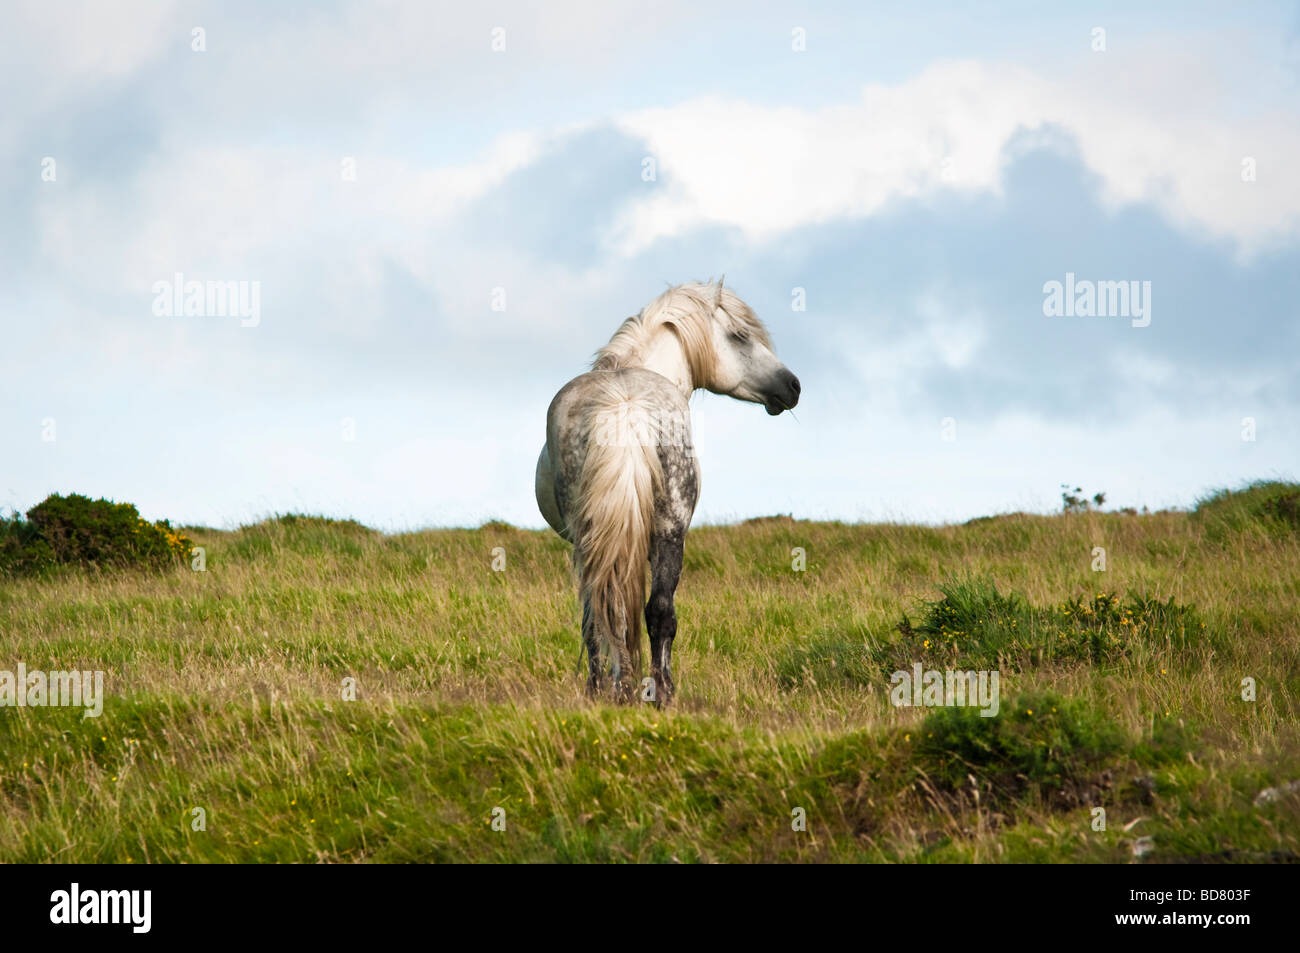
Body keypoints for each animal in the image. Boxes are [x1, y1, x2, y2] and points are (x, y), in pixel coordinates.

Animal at [533, 278, 795, 702]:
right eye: (740, 336)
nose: (792, 386)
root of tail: (624, 405)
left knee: (612, 611)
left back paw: (621, 690)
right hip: (668, 531)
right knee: (644, 613)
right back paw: (652, 692)